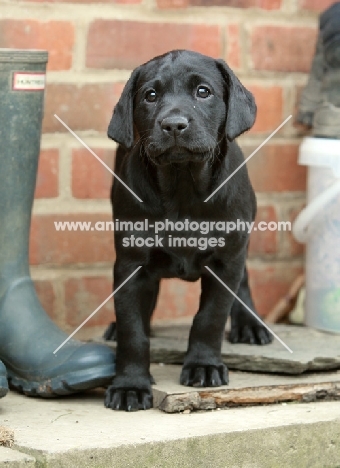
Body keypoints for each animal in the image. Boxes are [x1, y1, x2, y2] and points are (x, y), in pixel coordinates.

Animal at [105, 49, 272, 412]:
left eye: (203, 92)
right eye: (150, 95)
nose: (173, 125)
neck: (182, 186)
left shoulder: (225, 261)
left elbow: (210, 318)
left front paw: (204, 367)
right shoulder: (131, 264)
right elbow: (132, 330)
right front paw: (130, 385)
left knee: (244, 280)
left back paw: (251, 326)